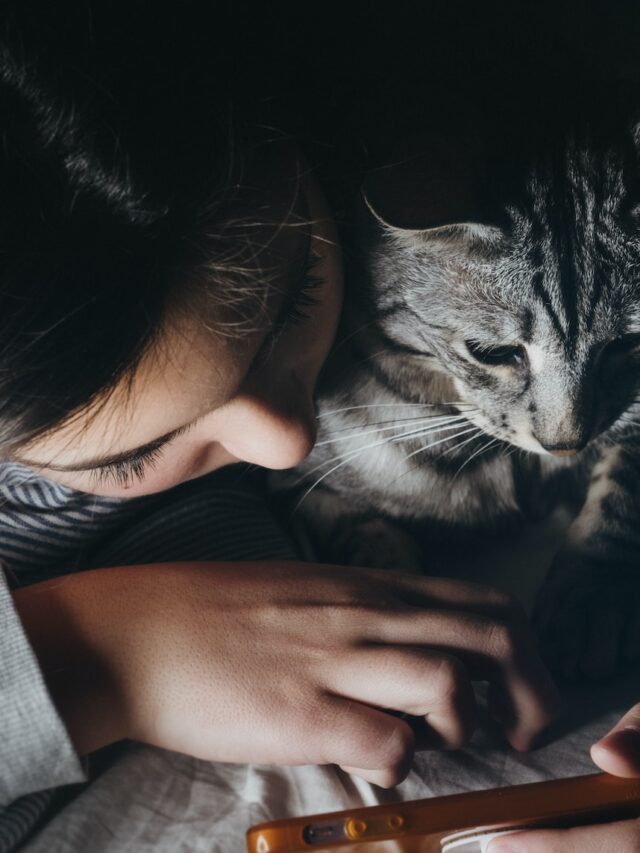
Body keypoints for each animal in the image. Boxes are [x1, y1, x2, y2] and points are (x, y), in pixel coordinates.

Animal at [278, 83, 640, 684]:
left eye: (627, 343)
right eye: (492, 353)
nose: (567, 442)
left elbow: (621, 493)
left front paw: (587, 599)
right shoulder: (296, 482)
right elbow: (365, 537)